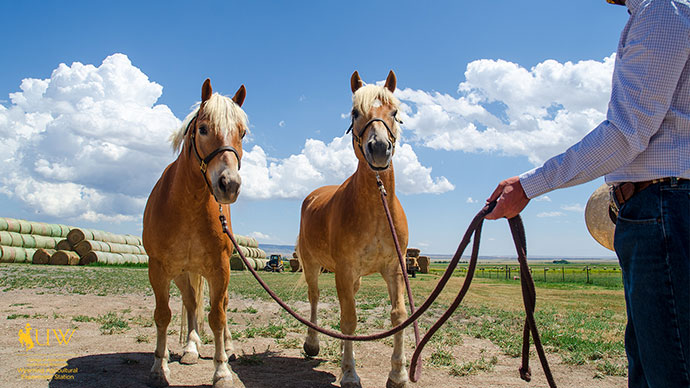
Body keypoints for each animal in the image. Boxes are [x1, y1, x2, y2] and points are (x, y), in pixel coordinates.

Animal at [141, 79, 246, 388]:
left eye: (242, 133)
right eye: (203, 128)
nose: (229, 184)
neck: (187, 204)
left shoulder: (220, 268)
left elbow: (217, 316)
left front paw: (222, 371)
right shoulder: (159, 269)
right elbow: (163, 315)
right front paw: (159, 367)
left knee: (219, 305)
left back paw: (227, 348)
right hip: (182, 272)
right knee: (190, 303)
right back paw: (189, 348)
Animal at [296, 70, 408, 388]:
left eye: (395, 112)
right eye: (356, 112)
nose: (379, 148)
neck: (376, 210)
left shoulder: (394, 268)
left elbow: (398, 315)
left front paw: (398, 374)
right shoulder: (344, 270)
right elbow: (349, 319)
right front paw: (349, 373)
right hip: (313, 265)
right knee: (314, 298)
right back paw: (312, 344)